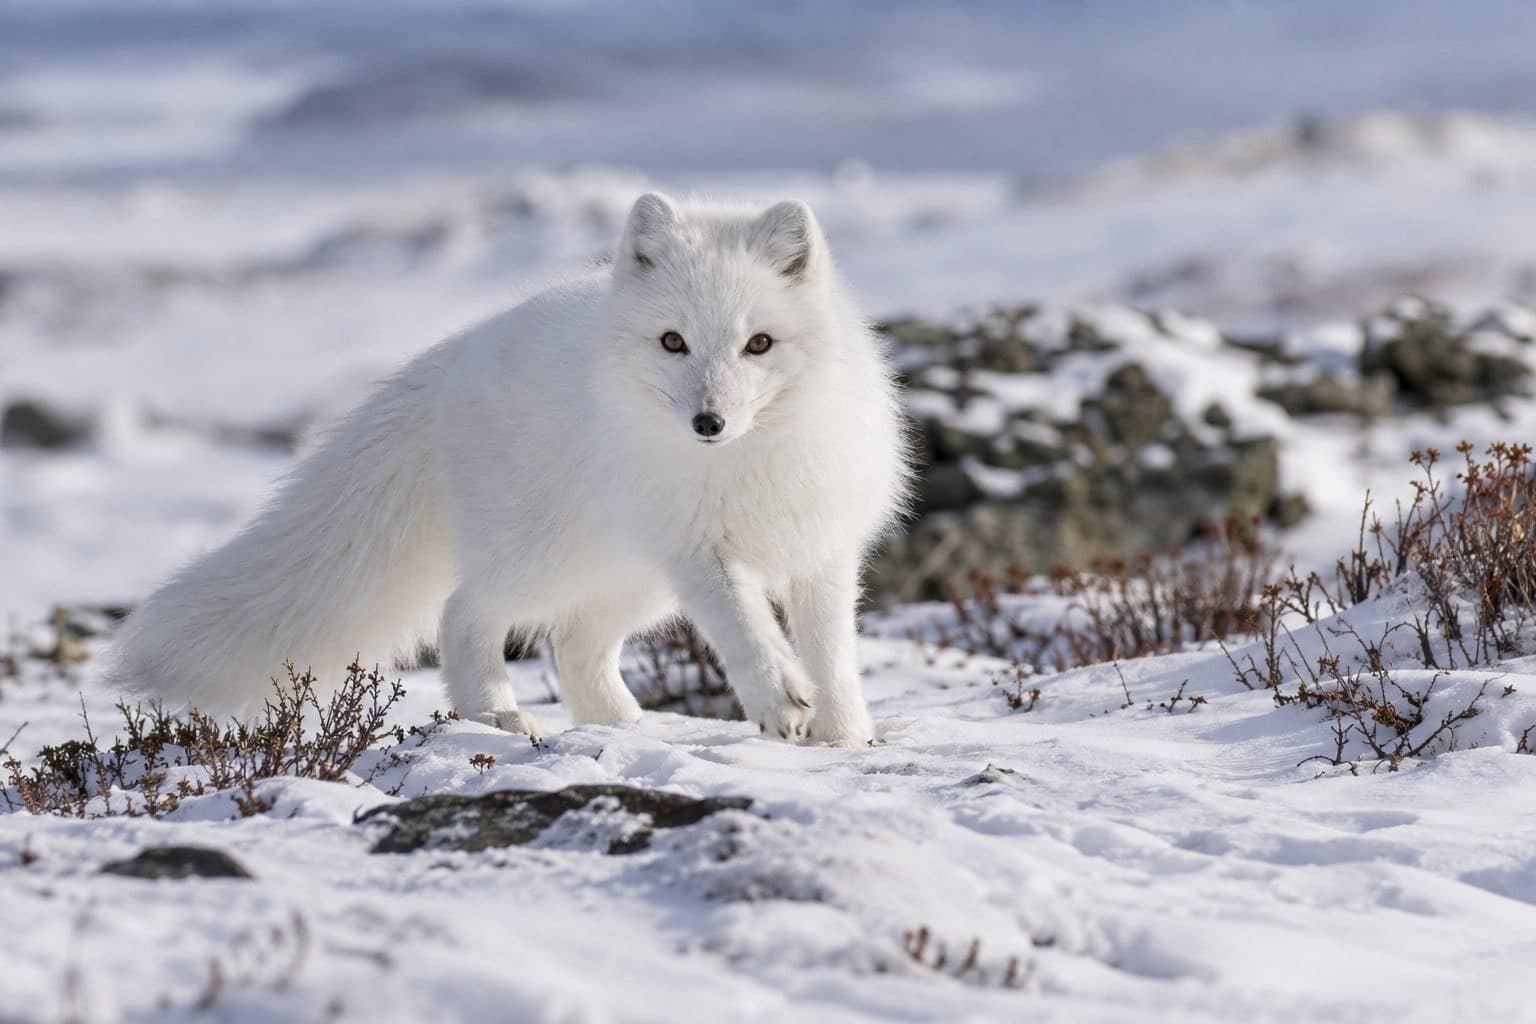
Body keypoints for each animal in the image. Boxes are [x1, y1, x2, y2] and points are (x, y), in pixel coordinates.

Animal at [109, 193, 909, 745]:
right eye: (673, 341)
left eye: (759, 343)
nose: (707, 423)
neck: (750, 463)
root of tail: (458, 353)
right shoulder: (699, 554)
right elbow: (747, 631)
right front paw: (778, 702)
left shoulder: (823, 553)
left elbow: (833, 654)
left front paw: (847, 736)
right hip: (550, 558)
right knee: (465, 611)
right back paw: (496, 715)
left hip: (630, 576)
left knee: (574, 644)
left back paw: (627, 727)